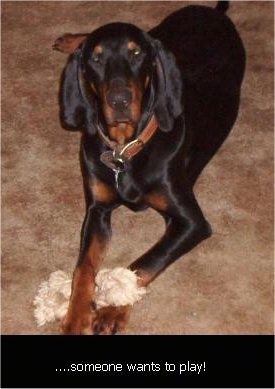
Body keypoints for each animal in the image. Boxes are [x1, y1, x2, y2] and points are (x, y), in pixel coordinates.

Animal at [53, 0, 246, 334]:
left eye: (136, 54)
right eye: (96, 58)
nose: (119, 100)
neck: (124, 149)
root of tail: (214, 12)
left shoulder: (191, 222)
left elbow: (144, 263)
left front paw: (113, 308)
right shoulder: (97, 211)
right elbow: (83, 267)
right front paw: (76, 316)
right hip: (160, 31)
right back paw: (71, 40)